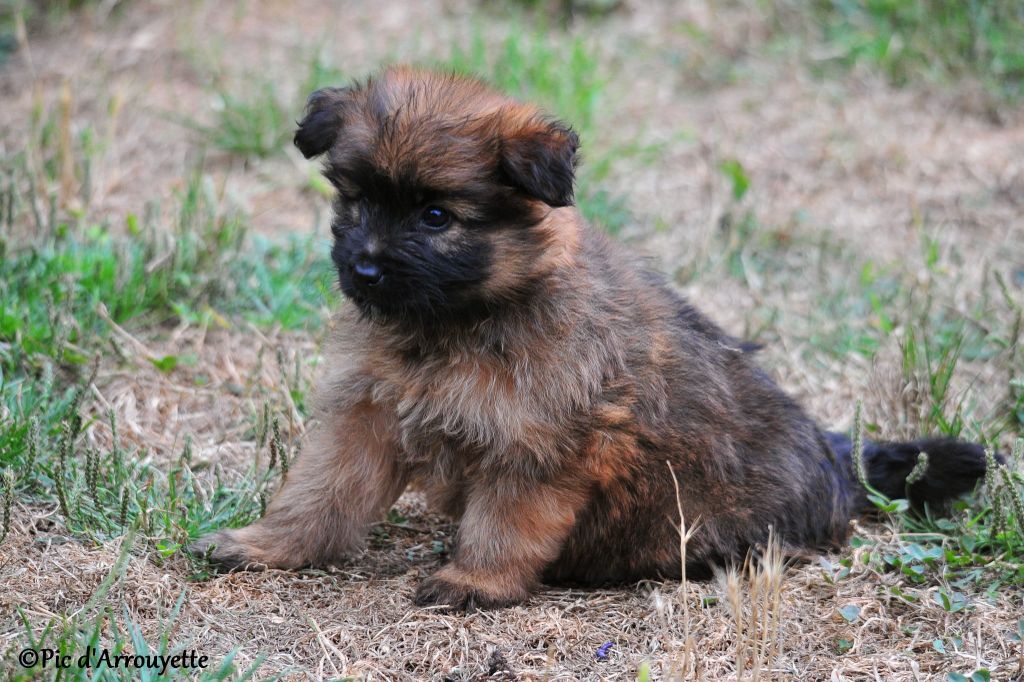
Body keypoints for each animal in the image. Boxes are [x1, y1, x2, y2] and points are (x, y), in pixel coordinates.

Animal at [192, 66, 991, 606]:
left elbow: (505, 522)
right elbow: (318, 493)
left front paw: (475, 581)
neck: (466, 318)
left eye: (436, 216)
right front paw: (267, 545)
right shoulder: (366, 415)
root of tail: (837, 453)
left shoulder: (540, 445)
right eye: (355, 201)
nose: (362, 268)